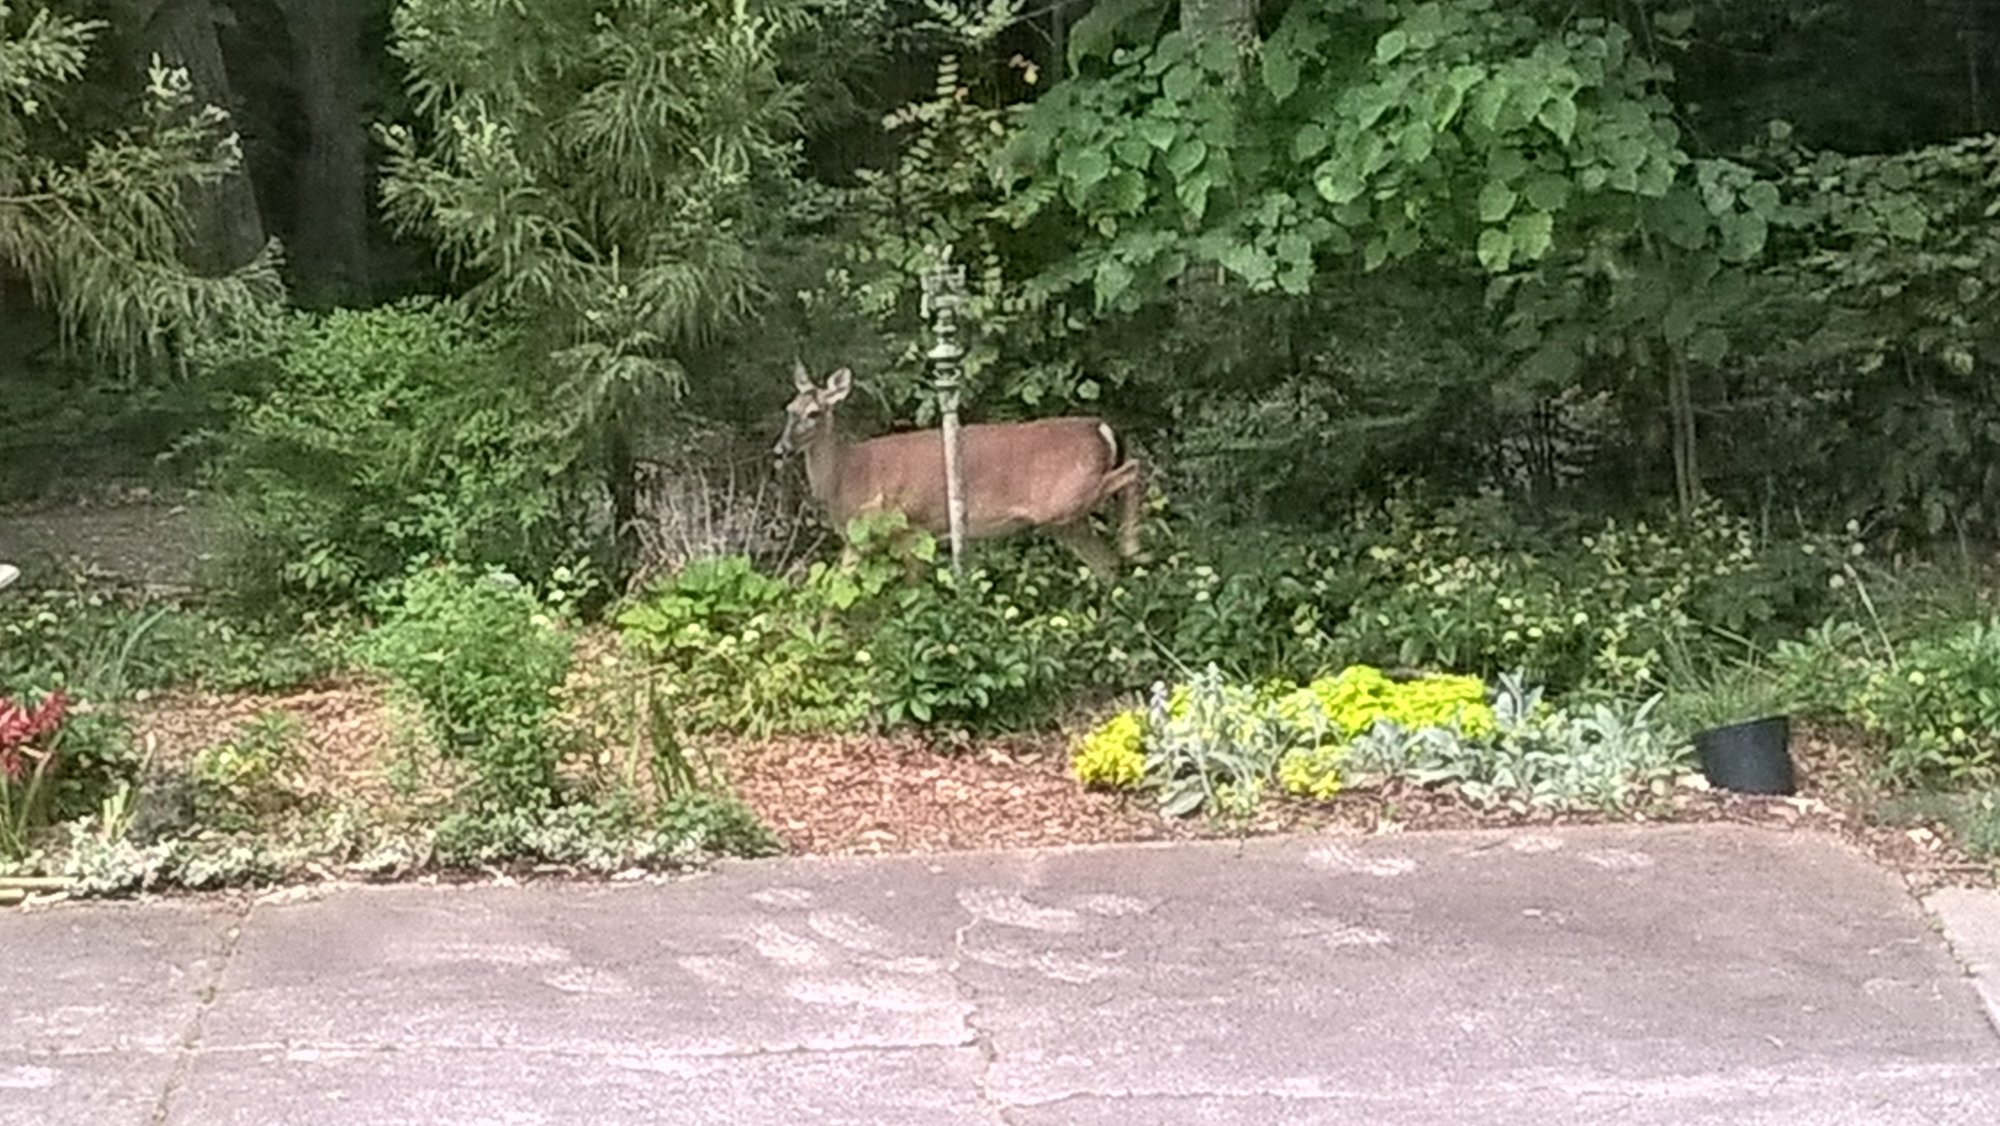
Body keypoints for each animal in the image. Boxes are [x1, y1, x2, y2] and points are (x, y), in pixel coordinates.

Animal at [768, 364, 1144, 576]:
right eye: (788, 408)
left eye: (814, 413)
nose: (781, 449)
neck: (849, 475)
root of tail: (1100, 428)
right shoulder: (856, 541)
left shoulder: (913, 527)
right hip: (1065, 521)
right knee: (1106, 564)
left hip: (1064, 497)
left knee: (1133, 470)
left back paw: (1131, 545)